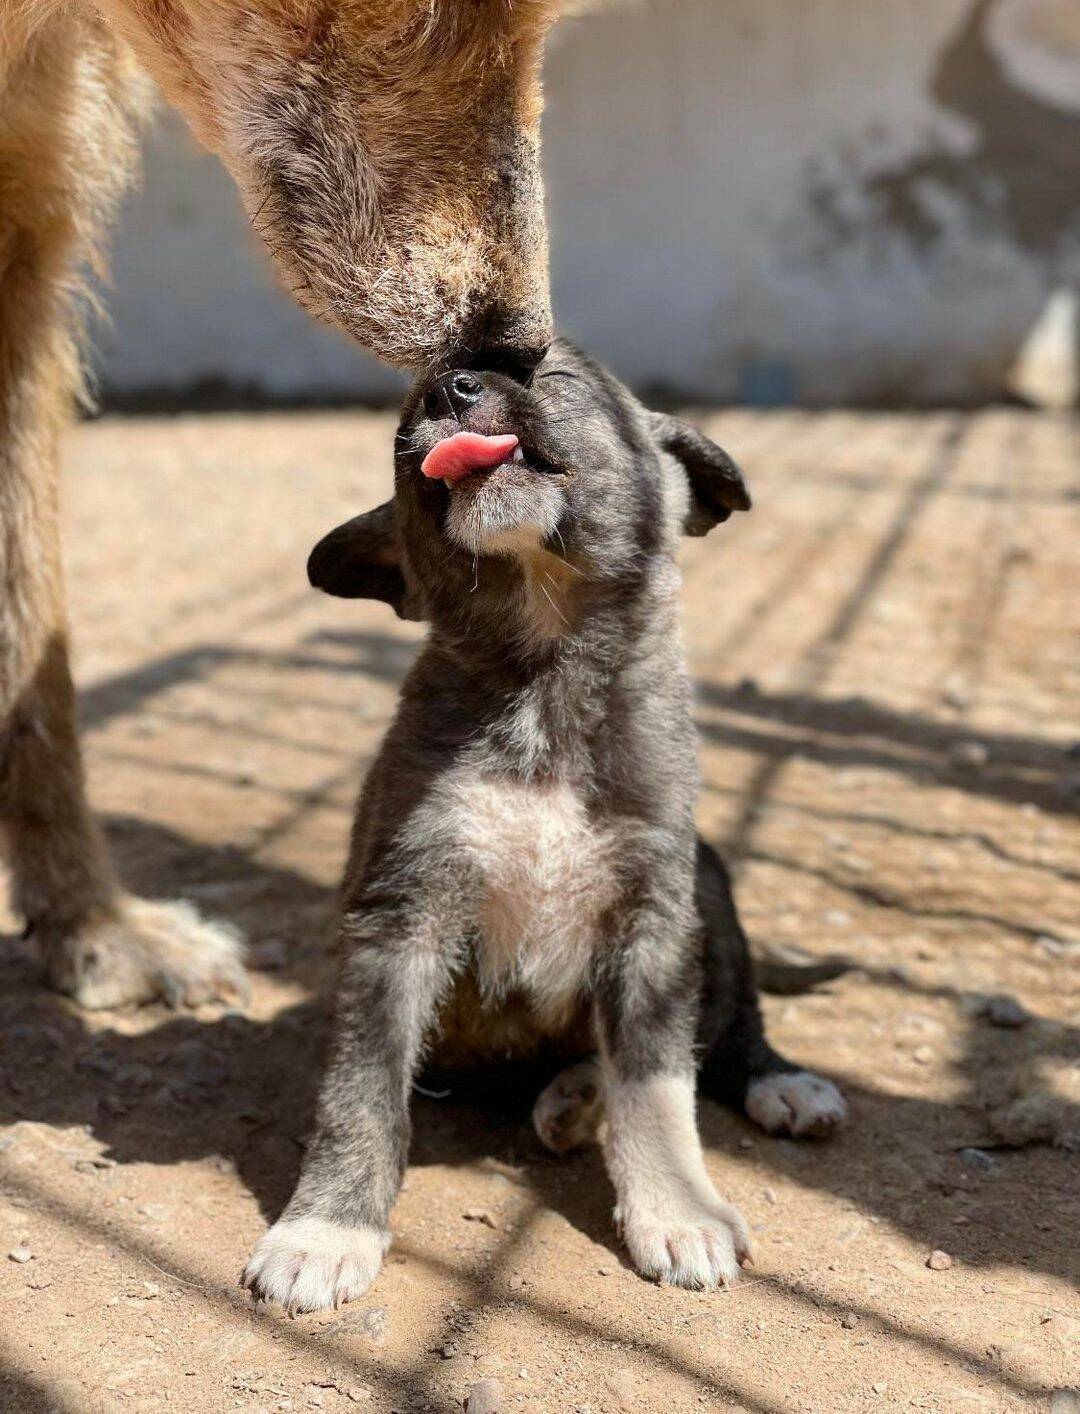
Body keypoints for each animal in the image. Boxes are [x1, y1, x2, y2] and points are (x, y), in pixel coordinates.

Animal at [243, 339, 842, 1312]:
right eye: (411, 411)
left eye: (555, 377)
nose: (451, 390)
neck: (546, 673)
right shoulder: (399, 915)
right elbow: (360, 1090)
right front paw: (325, 1230)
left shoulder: (655, 917)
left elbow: (659, 1082)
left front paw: (677, 1210)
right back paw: (573, 1096)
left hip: (712, 889)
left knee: (727, 1030)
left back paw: (766, 1084)